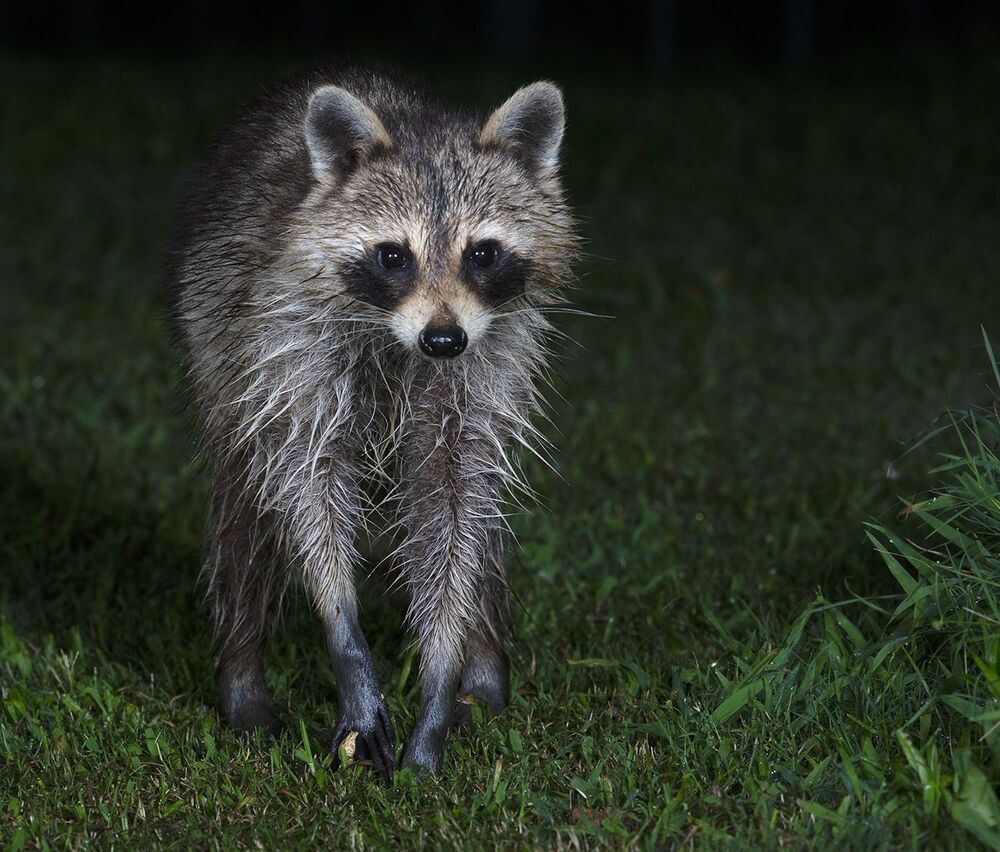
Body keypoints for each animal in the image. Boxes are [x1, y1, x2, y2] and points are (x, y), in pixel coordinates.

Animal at [170, 66, 576, 778]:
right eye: (393, 256)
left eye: (482, 253)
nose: (442, 340)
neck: (399, 340)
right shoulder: (288, 343)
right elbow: (307, 484)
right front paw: (347, 641)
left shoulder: (482, 366)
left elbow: (454, 508)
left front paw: (443, 671)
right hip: (218, 349)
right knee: (245, 519)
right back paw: (243, 680)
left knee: (486, 532)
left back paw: (484, 667)